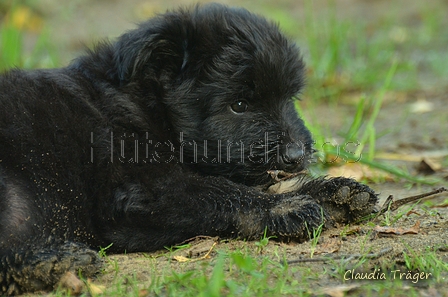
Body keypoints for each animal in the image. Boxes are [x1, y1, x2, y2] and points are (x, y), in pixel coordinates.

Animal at [0, 2, 378, 294]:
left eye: (290, 97)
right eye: (239, 105)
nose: (296, 156)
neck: (143, 104)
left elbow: (251, 183)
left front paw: (332, 192)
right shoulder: (143, 191)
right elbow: (219, 191)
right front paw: (285, 208)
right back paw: (50, 263)